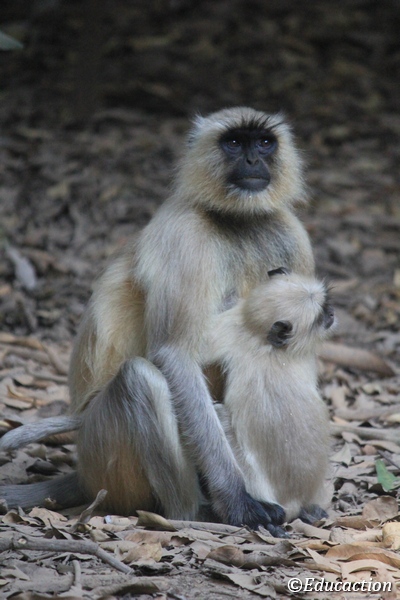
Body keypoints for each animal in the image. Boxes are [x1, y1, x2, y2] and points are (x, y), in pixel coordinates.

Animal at [0, 107, 315, 535]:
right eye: (234, 142)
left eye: (264, 142)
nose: (252, 160)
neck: (238, 221)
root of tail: (83, 472)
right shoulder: (185, 234)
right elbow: (175, 354)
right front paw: (238, 502)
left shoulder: (292, 233)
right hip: (104, 451)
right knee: (140, 378)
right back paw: (196, 514)